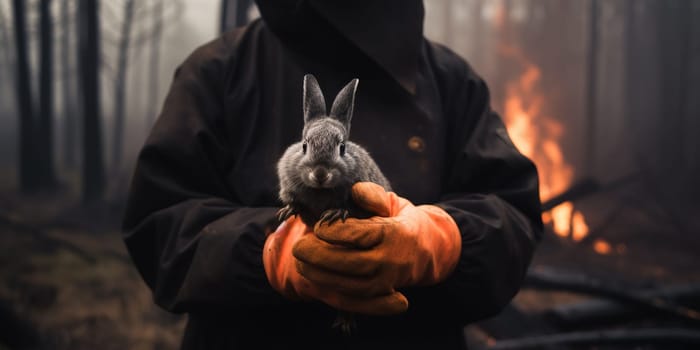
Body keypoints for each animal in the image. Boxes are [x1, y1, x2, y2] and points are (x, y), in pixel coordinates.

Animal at [276, 74, 392, 227]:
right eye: (304, 146)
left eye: (342, 148)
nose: (320, 174)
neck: (320, 191)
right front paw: (288, 210)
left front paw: (335, 213)